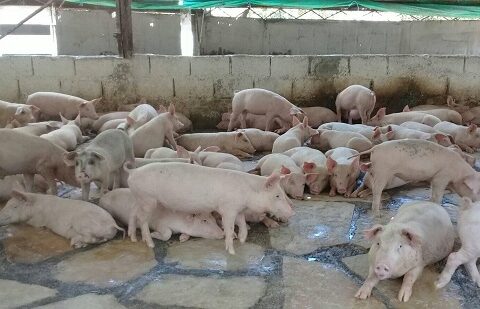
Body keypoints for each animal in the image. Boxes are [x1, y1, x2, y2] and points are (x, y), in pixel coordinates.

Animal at [125, 161, 294, 253]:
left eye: (282, 193)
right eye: (277, 195)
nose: (292, 212)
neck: (247, 193)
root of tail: (133, 171)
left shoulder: (237, 209)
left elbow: (242, 223)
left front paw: (242, 240)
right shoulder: (227, 209)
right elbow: (230, 227)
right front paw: (232, 250)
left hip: (139, 198)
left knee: (133, 213)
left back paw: (133, 238)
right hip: (148, 199)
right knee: (142, 220)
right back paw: (150, 244)